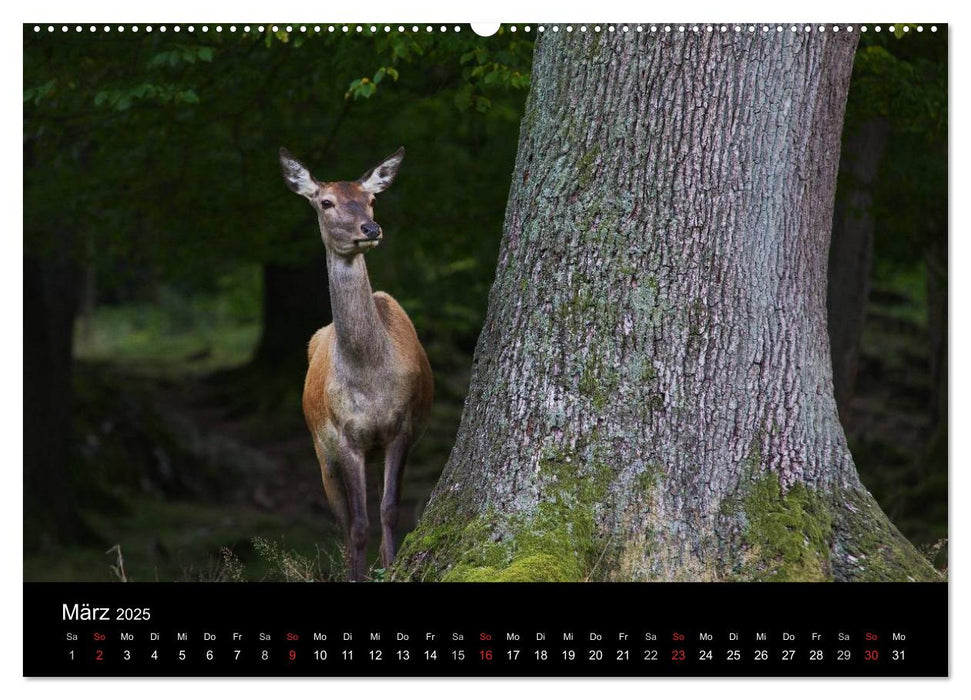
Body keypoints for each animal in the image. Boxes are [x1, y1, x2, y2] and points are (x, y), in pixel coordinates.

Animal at [280, 146, 432, 580]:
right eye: (326, 202)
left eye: (372, 199)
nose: (371, 228)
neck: (370, 377)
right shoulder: (344, 436)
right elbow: (358, 525)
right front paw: (358, 574)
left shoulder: (401, 427)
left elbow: (390, 510)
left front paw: (392, 566)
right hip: (320, 448)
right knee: (342, 519)